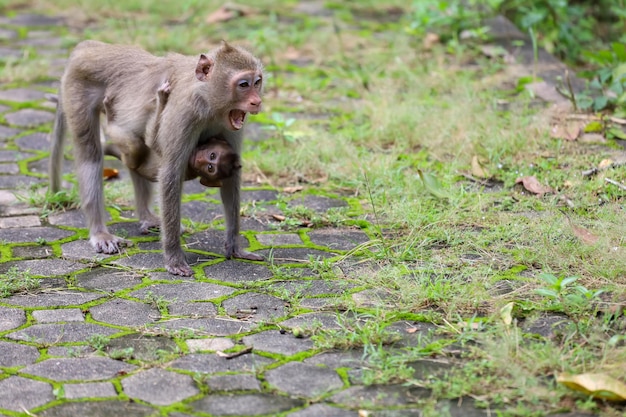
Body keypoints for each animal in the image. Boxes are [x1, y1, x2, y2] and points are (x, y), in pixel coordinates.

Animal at [49, 39, 264, 276]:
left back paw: (147, 216)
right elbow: (170, 174)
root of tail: (90, 46)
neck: (208, 101)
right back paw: (99, 231)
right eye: (243, 84)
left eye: (257, 82)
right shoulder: (183, 113)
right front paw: (173, 257)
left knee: (134, 150)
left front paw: (234, 246)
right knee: (91, 153)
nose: (257, 101)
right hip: (78, 87)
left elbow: (231, 177)